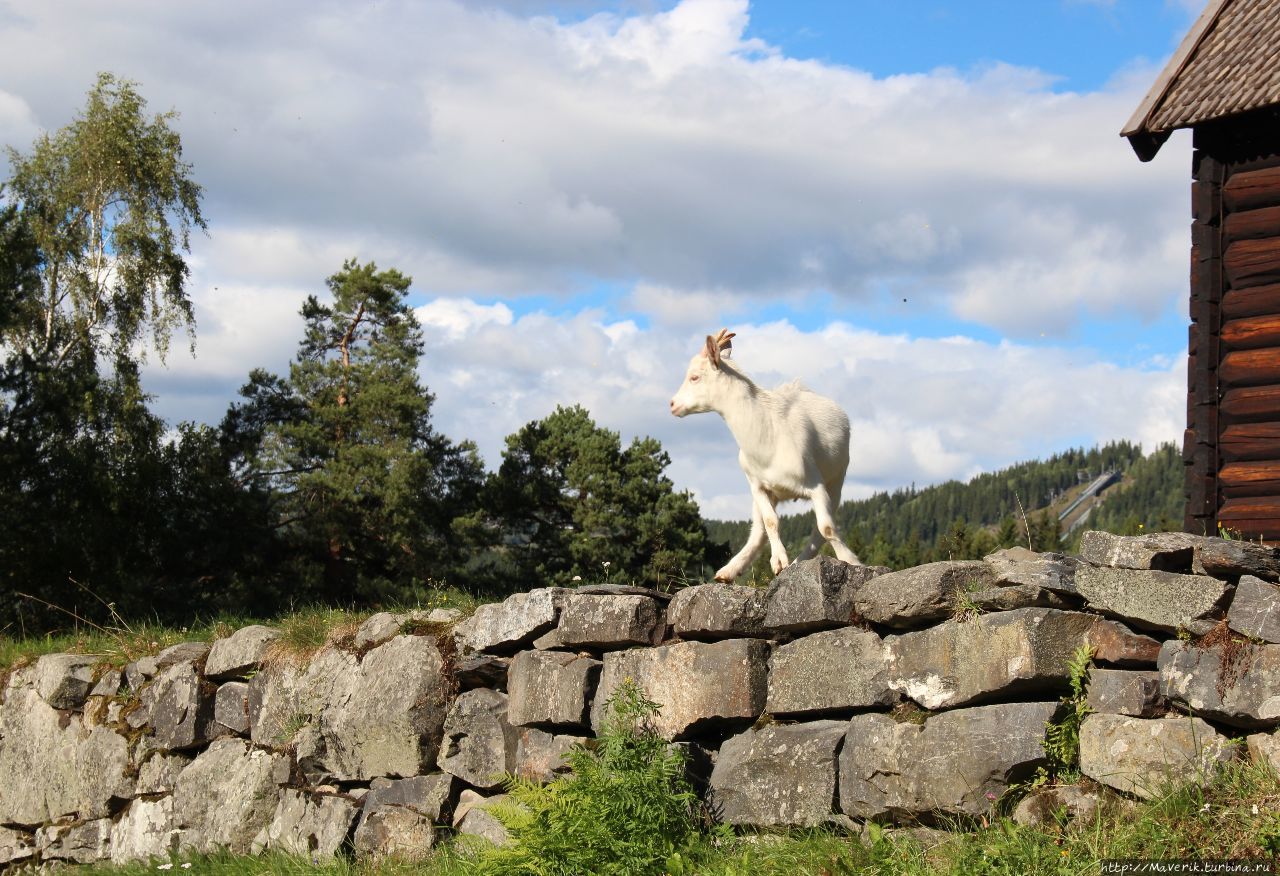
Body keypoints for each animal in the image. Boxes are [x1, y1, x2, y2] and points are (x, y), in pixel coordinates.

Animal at [670, 327, 860, 581]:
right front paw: (778, 562)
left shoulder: (816, 485)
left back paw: (799, 561)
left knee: (819, 530)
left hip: (837, 479)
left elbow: (827, 527)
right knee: (758, 531)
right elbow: (770, 522)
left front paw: (852, 561)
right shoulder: (757, 486)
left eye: (695, 377)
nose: (673, 404)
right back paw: (728, 571)